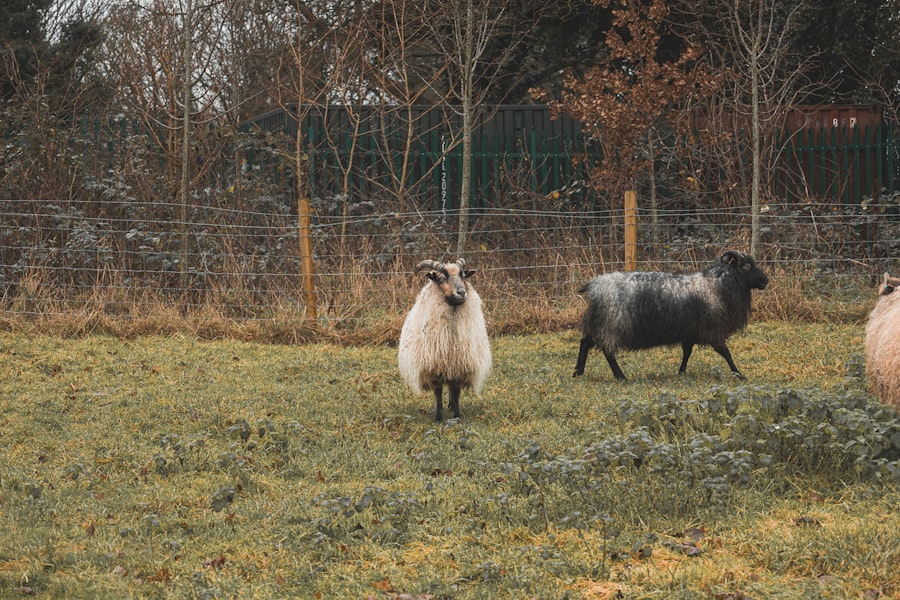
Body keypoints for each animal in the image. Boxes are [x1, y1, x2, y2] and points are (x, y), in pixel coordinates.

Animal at [398, 259, 491, 421]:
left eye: (463, 275)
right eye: (441, 278)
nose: (461, 292)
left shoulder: (459, 366)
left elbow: (456, 392)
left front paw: (457, 415)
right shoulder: (434, 368)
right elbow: (438, 392)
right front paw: (438, 416)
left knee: (452, 389)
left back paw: (452, 405)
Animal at [573, 250, 769, 381]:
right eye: (747, 266)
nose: (766, 280)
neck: (717, 285)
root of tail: (595, 285)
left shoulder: (690, 331)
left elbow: (687, 352)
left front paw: (681, 372)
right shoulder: (712, 329)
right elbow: (726, 352)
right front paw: (739, 374)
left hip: (599, 322)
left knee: (585, 343)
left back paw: (578, 372)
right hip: (612, 324)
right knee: (608, 351)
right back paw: (620, 376)